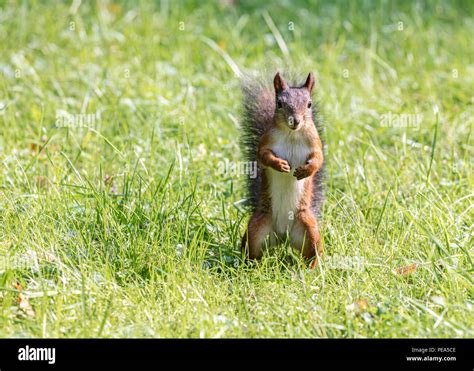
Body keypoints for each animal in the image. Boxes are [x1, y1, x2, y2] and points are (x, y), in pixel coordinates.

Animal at [241, 71, 326, 268]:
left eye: (309, 104)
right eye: (279, 103)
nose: (295, 121)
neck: (292, 134)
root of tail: (282, 236)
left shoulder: (315, 143)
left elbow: (318, 159)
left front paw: (306, 171)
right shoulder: (266, 141)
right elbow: (263, 156)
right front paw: (280, 165)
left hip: (307, 226)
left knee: (313, 252)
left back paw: (312, 269)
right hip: (257, 227)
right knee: (251, 249)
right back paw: (248, 267)